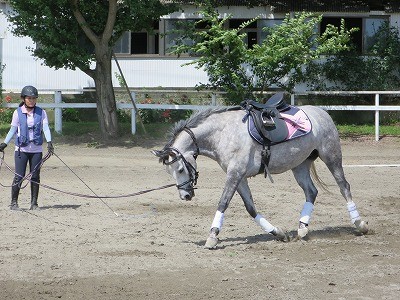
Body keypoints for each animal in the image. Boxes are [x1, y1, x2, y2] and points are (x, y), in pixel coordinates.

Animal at [152, 103, 368, 248]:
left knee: (343, 186)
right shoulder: (239, 177)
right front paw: (278, 233)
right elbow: (250, 208)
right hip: (299, 165)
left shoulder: (235, 173)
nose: (185, 195)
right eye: (170, 172)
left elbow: (223, 202)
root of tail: (322, 112)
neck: (222, 133)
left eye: (180, 169)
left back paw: (359, 224)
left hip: (331, 156)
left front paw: (212, 236)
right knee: (311, 192)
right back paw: (302, 228)